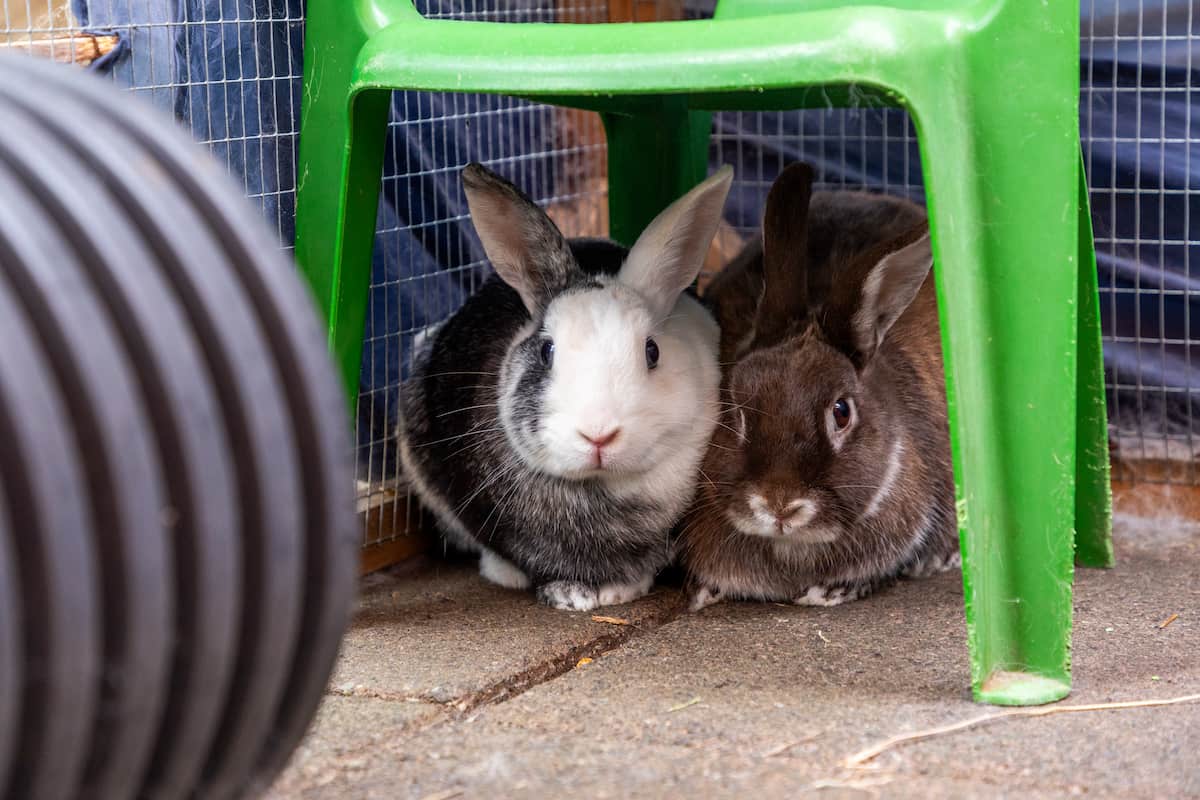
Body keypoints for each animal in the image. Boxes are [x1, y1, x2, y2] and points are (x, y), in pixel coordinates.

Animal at [399, 162, 732, 611]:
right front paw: (569, 595)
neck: (601, 489)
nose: (598, 435)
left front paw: (621, 590)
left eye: (652, 351)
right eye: (546, 350)